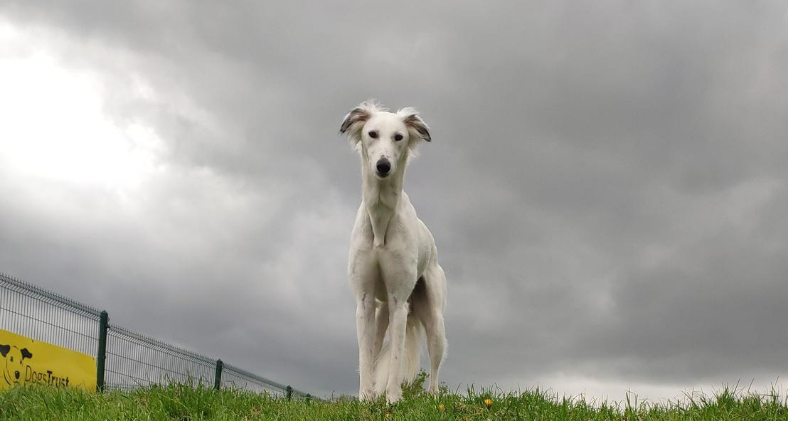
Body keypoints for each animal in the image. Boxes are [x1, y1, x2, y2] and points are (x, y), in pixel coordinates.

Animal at [340, 100, 446, 402]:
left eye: (399, 137)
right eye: (372, 133)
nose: (383, 165)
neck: (380, 221)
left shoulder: (400, 301)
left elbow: (397, 358)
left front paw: (393, 399)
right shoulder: (365, 302)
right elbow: (366, 357)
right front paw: (366, 398)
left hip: (433, 318)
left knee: (435, 363)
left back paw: (434, 396)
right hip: (381, 313)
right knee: (374, 349)